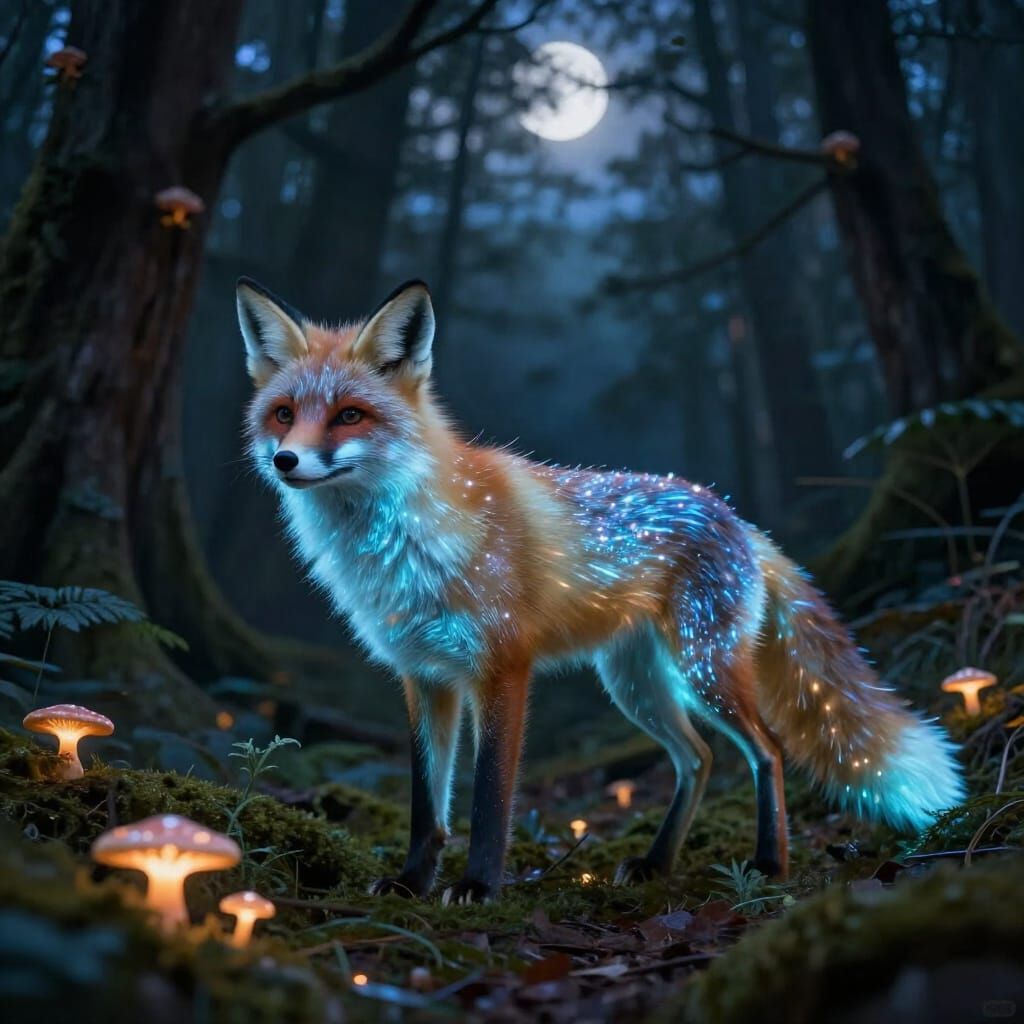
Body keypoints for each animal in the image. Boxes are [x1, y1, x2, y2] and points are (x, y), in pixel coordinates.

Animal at [237, 276, 965, 904]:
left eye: (349, 415)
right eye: (284, 414)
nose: (285, 460)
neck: (408, 543)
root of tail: (732, 514)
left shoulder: (502, 668)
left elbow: (489, 797)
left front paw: (478, 887)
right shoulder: (424, 675)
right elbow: (426, 806)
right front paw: (414, 883)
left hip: (703, 670)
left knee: (768, 751)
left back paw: (768, 862)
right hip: (633, 683)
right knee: (698, 758)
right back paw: (656, 863)